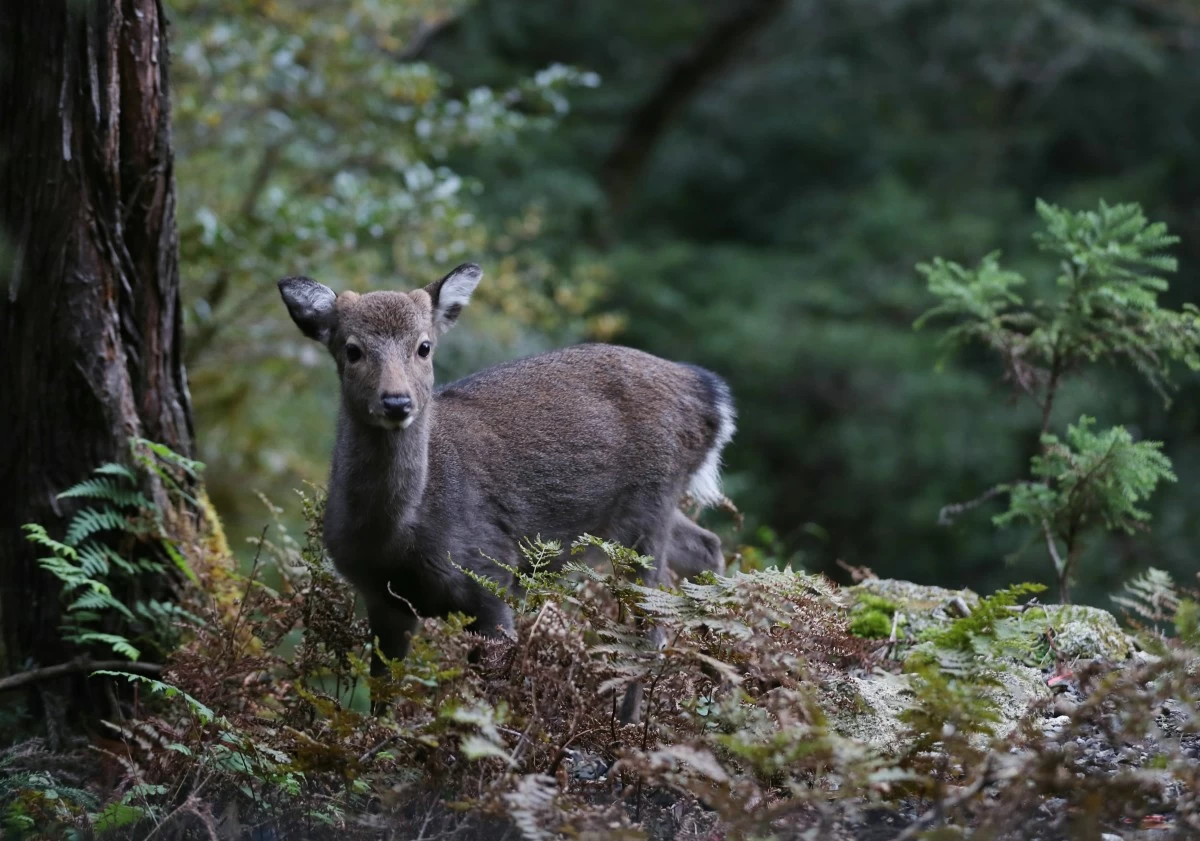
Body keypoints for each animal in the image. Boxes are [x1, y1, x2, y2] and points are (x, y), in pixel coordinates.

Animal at [278, 262, 735, 721]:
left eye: (424, 347)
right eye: (352, 350)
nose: (396, 401)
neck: (398, 539)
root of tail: (709, 396)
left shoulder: (493, 576)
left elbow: (487, 699)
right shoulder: (383, 601)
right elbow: (382, 699)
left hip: (650, 505)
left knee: (649, 626)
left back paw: (632, 725)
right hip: (643, 513)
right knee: (706, 546)